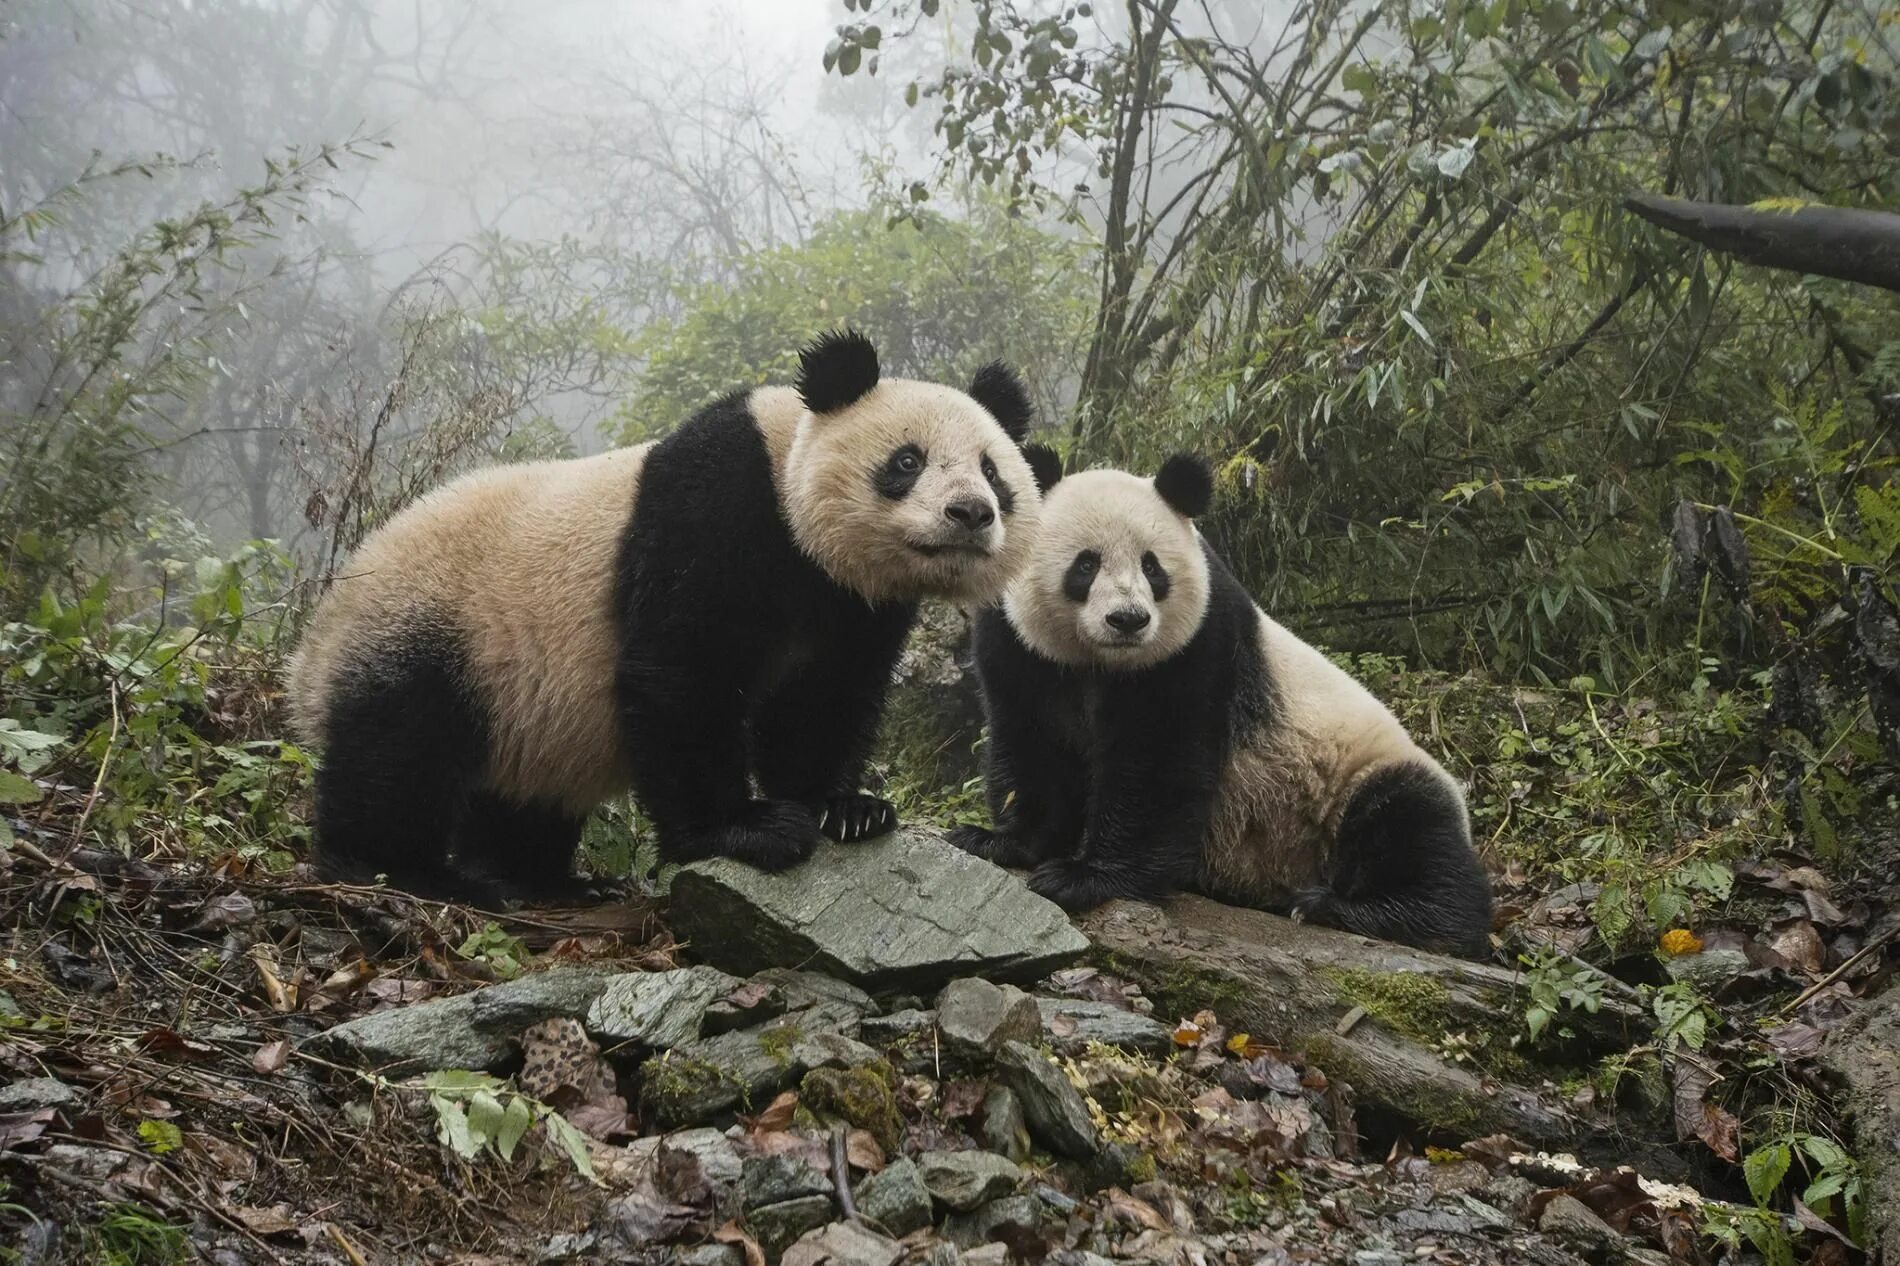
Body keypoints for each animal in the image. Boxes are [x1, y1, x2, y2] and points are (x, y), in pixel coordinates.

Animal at [288, 325, 1048, 897]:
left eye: (992, 471)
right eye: (907, 461)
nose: (970, 513)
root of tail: (313, 645)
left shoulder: (855, 602)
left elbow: (823, 697)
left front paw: (847, 810)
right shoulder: (714, 507)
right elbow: (685, 673)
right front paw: (745, 830)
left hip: (524, 711)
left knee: (517, 796)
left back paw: (538, 879)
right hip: (437, 627)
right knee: (400, 751)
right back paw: (403, 869)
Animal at [950, 448, 1497, 950]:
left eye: (1153, 568)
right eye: (1085, 564)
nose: (1128, 620)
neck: (1099, 662)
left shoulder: (1198, 643)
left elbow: (1156, 761)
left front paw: (1085, 876)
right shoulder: (1019, 647)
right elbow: (1033, 745)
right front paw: (998, 841)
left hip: (1358, 778)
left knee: (1412, 829)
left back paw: (1345, 909)